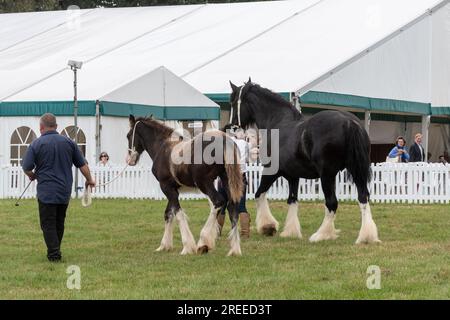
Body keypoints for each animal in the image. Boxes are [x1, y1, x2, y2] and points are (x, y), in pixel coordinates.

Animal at [126, 115, 244, 255]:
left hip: (204, 183)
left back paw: (203, 242)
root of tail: (225, 140)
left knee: (218, 202)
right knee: (233, 207)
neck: (162, 147)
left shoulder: (166, 187)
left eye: (128, 135)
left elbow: (178, 214)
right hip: (226, 180)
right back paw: (234, 249)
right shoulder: (173, 190)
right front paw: (164, 245)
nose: (130, 160)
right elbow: (168, 214)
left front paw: (187, 247)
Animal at [229, 81, 380, 244]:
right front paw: (290, 231)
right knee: (363, 197)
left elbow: (259, 194)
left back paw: (321, 235)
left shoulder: (271, 171)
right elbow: (292, 200)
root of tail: (349, 122)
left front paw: (268, 226)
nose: (232, 127)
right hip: (356, 170)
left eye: (233, 101)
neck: (278, 122)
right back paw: (366, 236)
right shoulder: (293, 176)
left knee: (332, 202)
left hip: (327, 175)